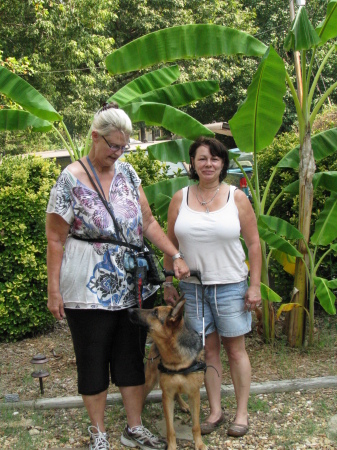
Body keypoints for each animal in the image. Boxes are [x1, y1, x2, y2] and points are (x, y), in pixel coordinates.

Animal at [129, 298, 206, 448]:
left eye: (155, 312)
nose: (129, 310)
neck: (177, 360)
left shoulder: (194, 394)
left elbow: (196, 426)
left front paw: (199, 444)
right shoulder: (167, 396)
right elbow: (170, 429)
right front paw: (171, 446)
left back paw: (183, 405)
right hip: (150, 380)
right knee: (142, 394)